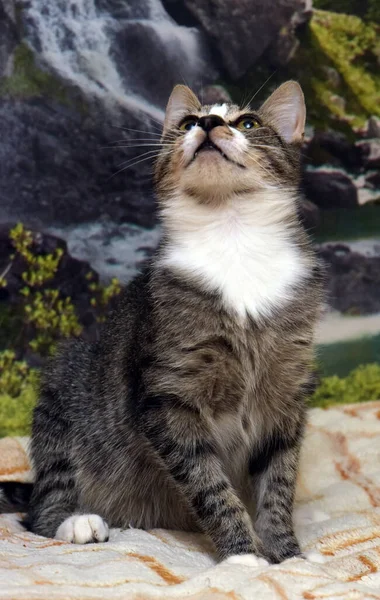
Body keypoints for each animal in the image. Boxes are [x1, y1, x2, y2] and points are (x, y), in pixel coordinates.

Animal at [0, 81, 324, 568]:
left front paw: (286, 555)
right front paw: (242, 556)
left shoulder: (286, 395)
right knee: (40, 507)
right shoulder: (168, 396)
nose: (207, 122)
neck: (233, 239)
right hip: (63, 384)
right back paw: (76, 521)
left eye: (248, 123)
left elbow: (278, 484)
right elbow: (210, 486)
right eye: (188, 122)